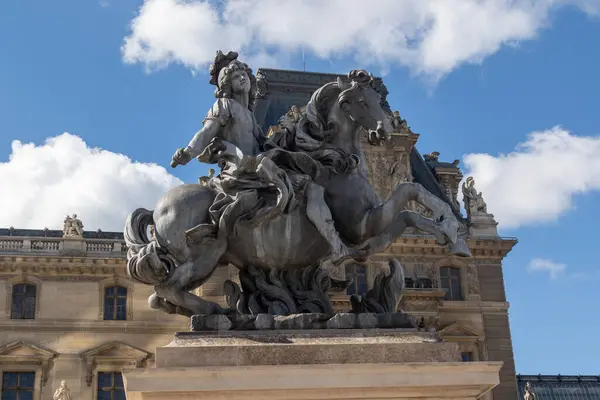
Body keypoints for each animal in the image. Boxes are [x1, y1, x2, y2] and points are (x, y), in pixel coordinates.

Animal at [125, 70, 468, 318]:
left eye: (377, 99)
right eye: (362, 102)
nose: (383, 131)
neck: (336, 163)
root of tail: (158, 207)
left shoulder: (370, 232)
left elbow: (410, 209)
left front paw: (453, 233)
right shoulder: (360, 225)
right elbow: (408, 191)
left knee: (161, 297)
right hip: (206, 254)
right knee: (166, 290)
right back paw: (216, 311)